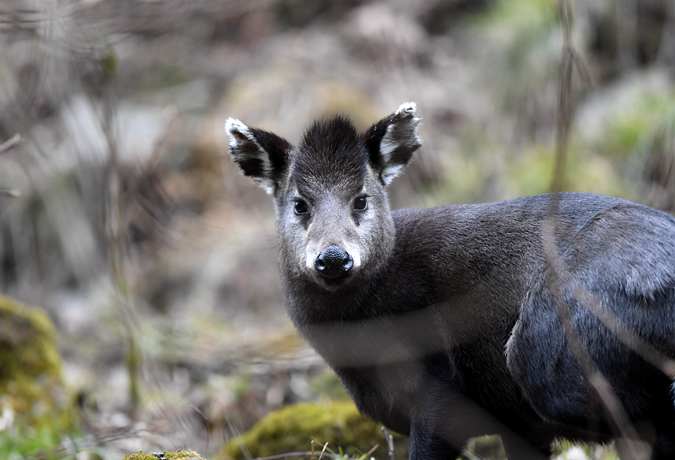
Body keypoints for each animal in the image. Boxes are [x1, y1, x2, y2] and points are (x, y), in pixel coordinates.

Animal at [226, 104, 675, 460]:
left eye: (361, 199)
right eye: (299, 204)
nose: (333, 257)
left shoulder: (440, 387)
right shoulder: (517, 425)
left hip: (553, 352)